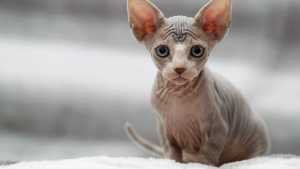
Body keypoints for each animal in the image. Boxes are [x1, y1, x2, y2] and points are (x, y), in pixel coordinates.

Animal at [124, 0, 270, 166]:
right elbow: (172, 155)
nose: (179, 68)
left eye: (197, 51)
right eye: (162, 50)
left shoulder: (216, 127)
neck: (178, 95)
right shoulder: (164, 129)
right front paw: (174, 164)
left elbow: (206, 156)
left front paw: (201, 165)